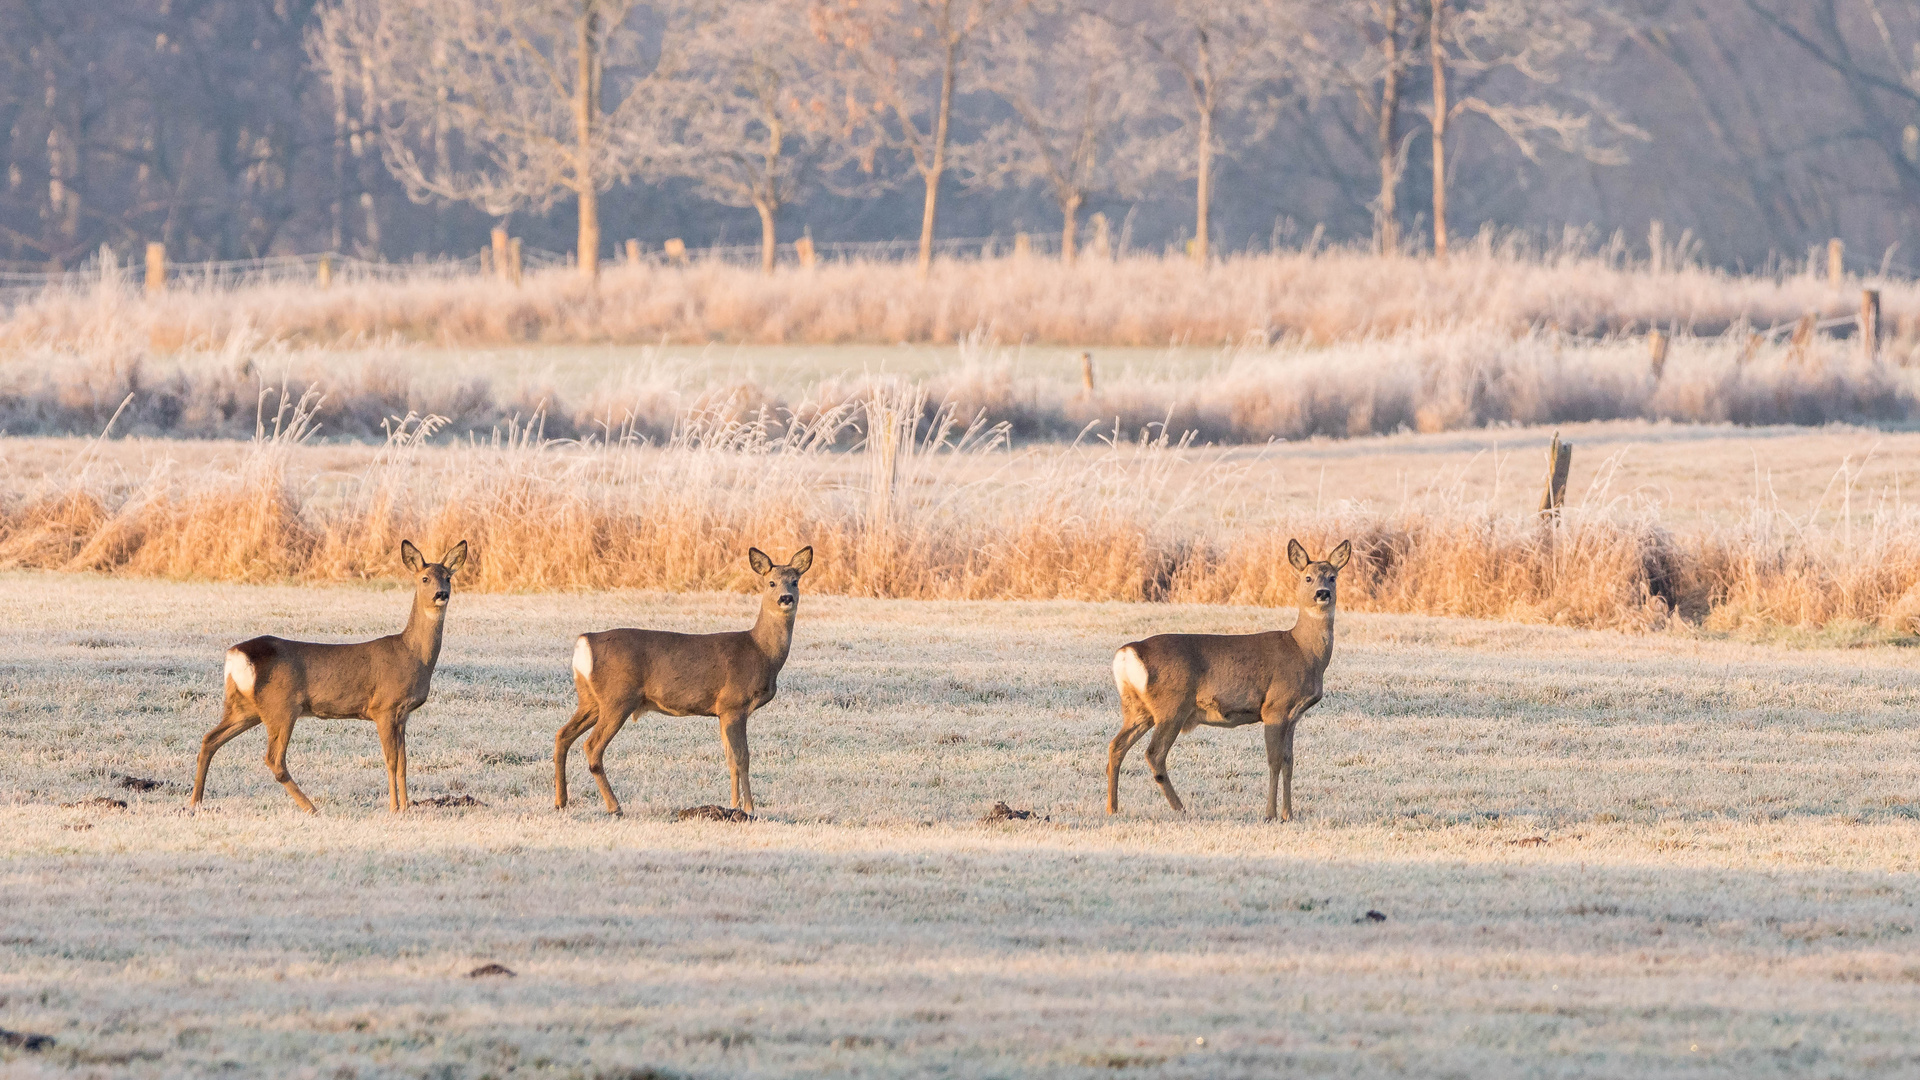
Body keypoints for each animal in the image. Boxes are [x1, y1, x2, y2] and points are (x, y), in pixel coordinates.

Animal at [186, 538, 468, 807]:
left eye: (448, 577)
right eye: (425, 578)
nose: (441, 594)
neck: (411, 655)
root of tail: (236, 654)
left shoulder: (403, 715)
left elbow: (404, 763)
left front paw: (407, 808)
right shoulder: (383, 707)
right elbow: (391, 761)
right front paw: (394, 809)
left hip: (245, 707)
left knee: (209, 739)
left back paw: (195, 801)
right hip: (282, 706)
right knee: (273, 759)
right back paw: (311, 808)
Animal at [560, 541, 817, 810]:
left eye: (795, 581)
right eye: (771, 583)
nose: (786, 598)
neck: (760, 651)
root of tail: (585, 641)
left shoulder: (722, 711)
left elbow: (729, 759)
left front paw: (732, 805)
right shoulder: (733, 704)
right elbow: (742, 758)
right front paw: (748, 808)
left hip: (590, 699)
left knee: (563, 735)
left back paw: (561, 800)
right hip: (618, 697)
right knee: (592, 746)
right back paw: (614, 807)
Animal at [1105, 534, 1359, 818]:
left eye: (1333, 577)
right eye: (1308, 577)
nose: (1322, 593)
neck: (1303, 650)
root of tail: (1129, 652)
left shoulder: (1293, 716)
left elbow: (1289, 762)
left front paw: (1289, 814)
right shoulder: (1275, 707)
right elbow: (1274, 761)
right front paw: (1270, 814)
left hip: (1138, 708)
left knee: (1116, 746)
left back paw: (1112, 808)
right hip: (1172, 705)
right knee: (1154, 754)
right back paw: (1180, 808)